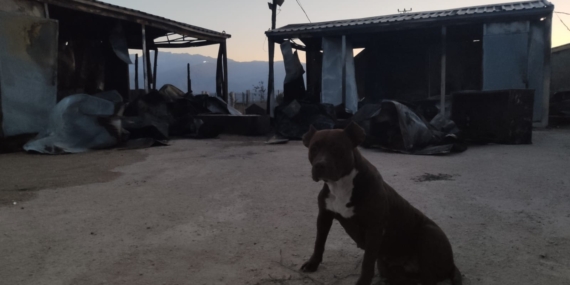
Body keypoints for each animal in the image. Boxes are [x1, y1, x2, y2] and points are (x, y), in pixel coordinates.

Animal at [300, 122, 460, 284]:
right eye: (313, 148)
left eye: (336, 148)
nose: (319, 165)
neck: (341, 185)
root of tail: (452, 264)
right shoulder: (324, 217)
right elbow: (319, 242)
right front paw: (313, 263)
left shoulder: (374, 228)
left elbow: (367, 261)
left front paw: (363, 282)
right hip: (388, 268)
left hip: (429, 233)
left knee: (428, 277)